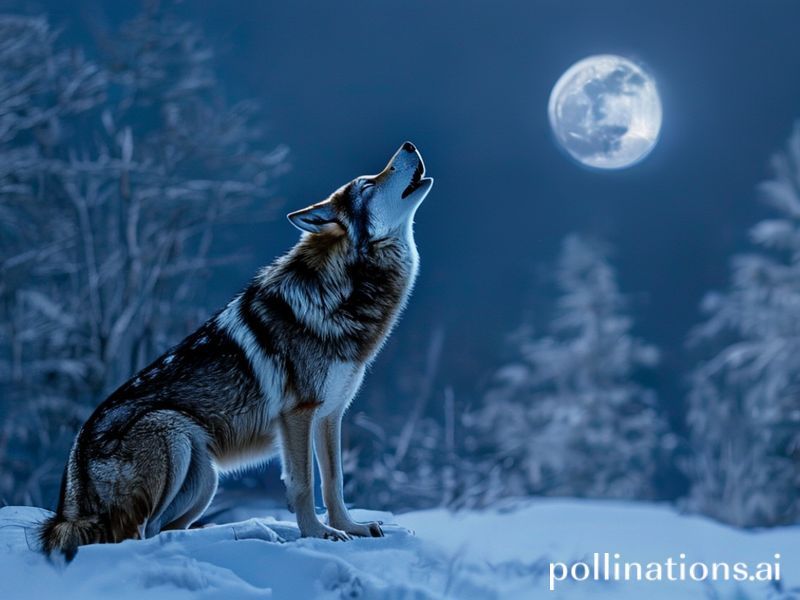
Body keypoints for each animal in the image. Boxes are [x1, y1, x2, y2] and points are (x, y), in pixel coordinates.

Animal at [39, 142, 433, 560]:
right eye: (368, 185)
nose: (408, 145)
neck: (340, 294)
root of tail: (72, 477)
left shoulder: (330, 415)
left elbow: (334, 482)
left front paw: (350, 528)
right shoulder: (298, 414)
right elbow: (303, 484)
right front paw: (318, 534)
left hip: (204, 479)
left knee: (164, 528)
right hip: (172, 433)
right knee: (140, 532)